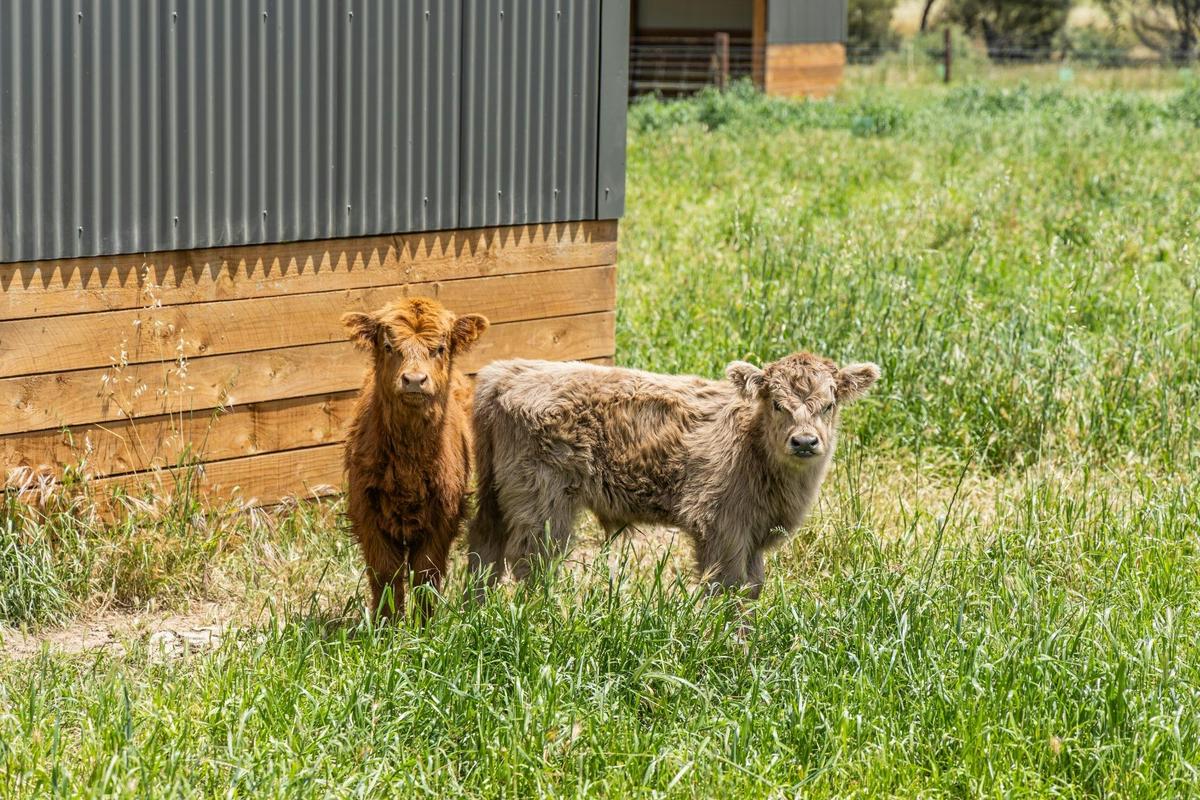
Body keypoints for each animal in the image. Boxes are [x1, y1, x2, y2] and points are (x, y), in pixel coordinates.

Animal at [342, 297, 488, 618]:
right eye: (388, 346)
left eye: (440, 348)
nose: (414, 380)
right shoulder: (368, 513)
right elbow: (386, 575)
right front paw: (387, 624)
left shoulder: (443, 515)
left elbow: (426, 575)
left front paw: (425, 624)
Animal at [466, 353, 879, 598]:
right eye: (777, 404)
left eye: (829, 404)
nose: (805, 441)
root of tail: (506, 371)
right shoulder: (720, 528)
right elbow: (727, 590)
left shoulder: (752, 537)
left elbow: (751, 589)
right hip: (543, 506)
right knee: (531, 565)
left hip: (498, 496)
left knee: (484, 547)